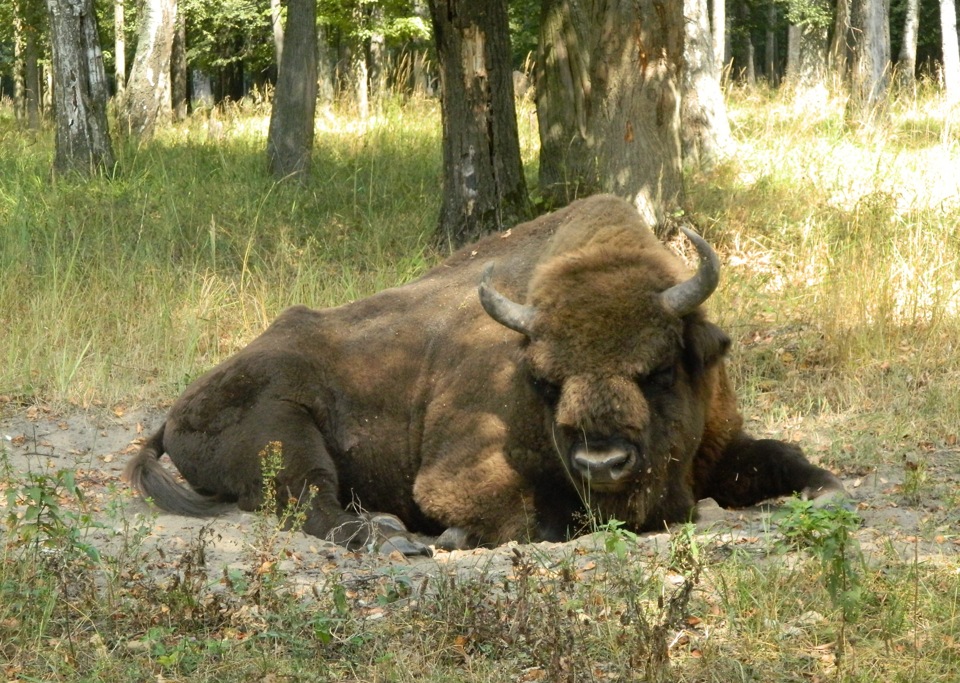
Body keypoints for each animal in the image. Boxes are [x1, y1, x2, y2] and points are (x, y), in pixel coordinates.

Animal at [124, 194, 844, 556]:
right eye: (545, 381)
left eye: (661, 368)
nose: (603, 460)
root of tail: (177, 410)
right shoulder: (459, 473)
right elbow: (530, 517)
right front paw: (454, 534)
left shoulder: (723, 442)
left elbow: (783, 456)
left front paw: (826, 489)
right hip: (286, 431)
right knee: (313, 503)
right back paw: (393, 539)